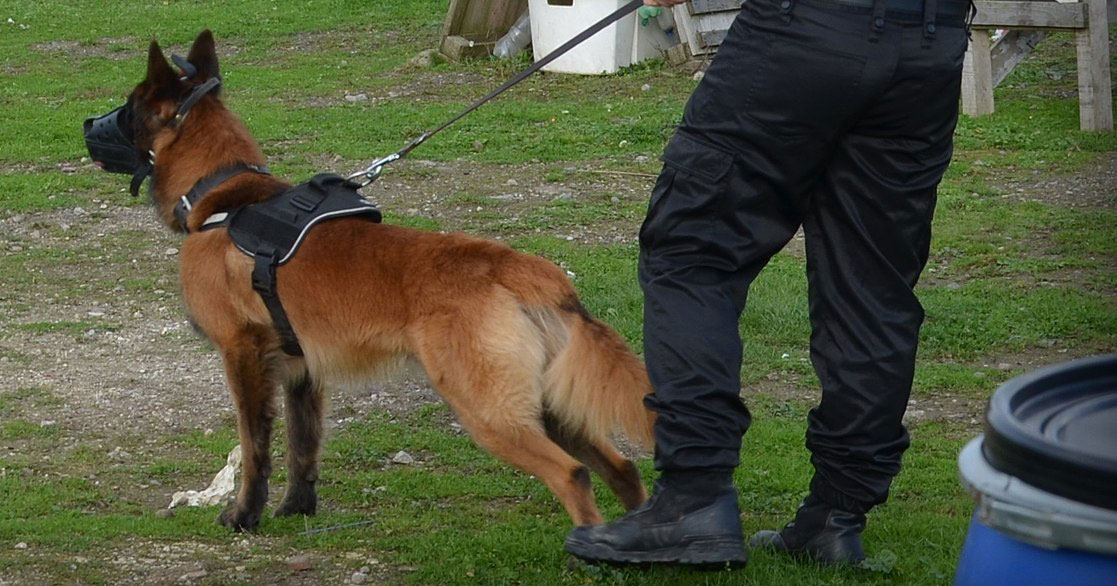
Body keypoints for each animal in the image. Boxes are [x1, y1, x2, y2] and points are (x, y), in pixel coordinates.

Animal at [87, 31, 656, 531]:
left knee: (573, 474)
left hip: (490, 412)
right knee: (622, 468)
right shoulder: (301, 371)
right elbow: (303, 447)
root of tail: (514, 266)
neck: (225, 195)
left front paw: (244, 517)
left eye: (128, 107)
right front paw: (296, 510)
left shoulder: (241, 355)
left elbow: (254, 448)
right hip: (547, 405)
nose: (87, 121)